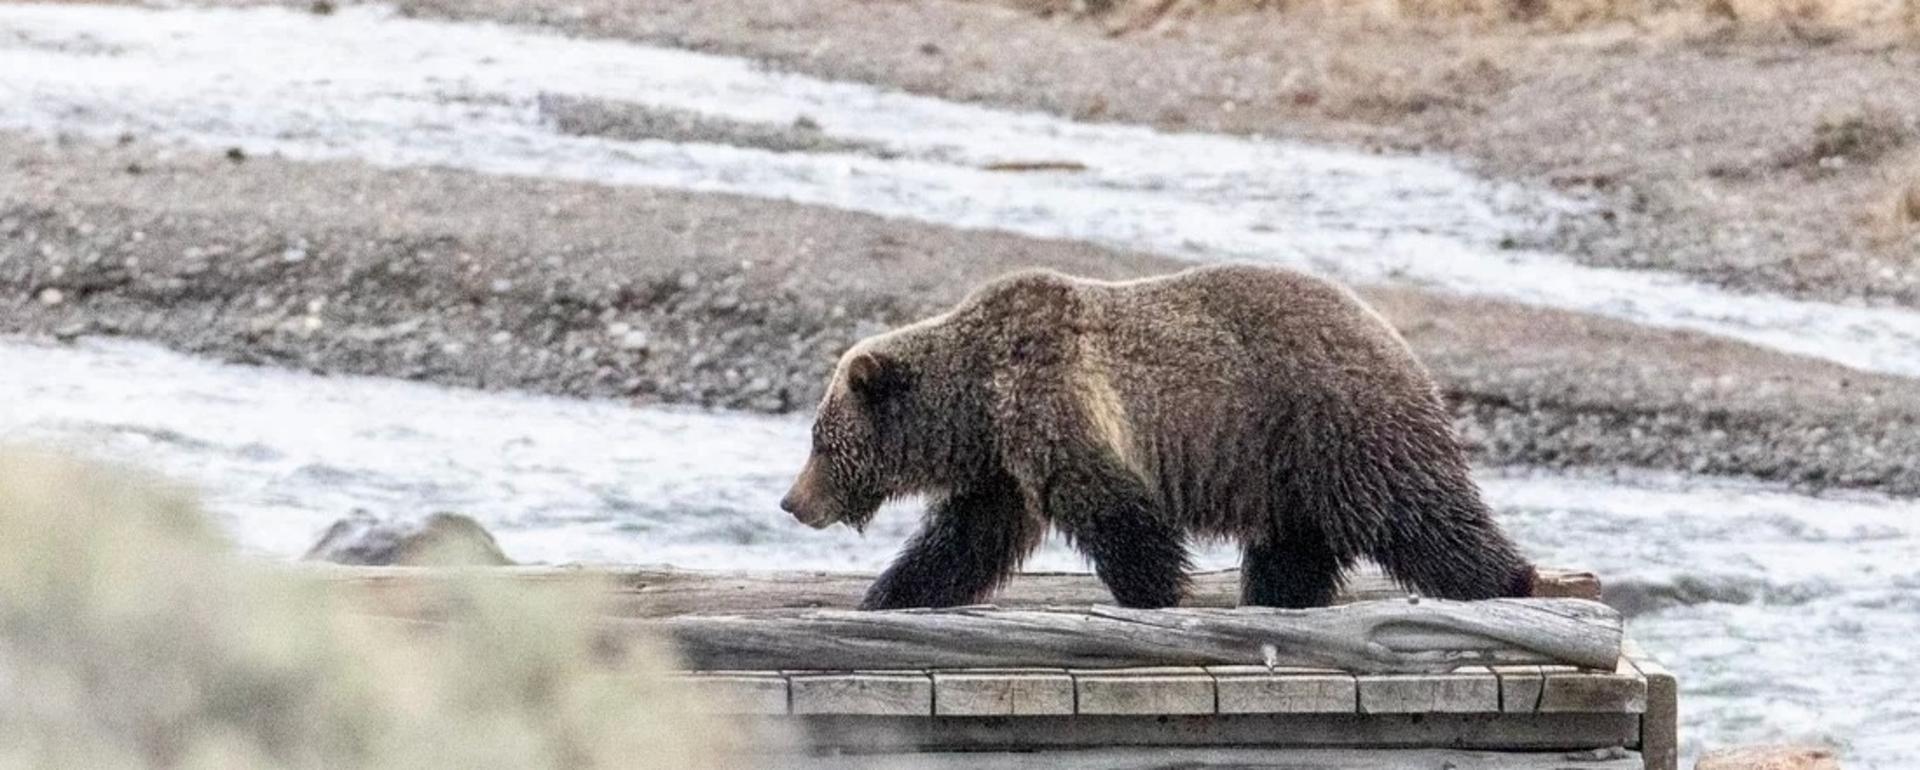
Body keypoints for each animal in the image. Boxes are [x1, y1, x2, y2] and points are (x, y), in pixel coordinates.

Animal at [771, 266, 1536, 610]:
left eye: (819, 442)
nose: (791, 501)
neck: (976, 403)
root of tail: (1393, 335)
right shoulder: (1001, 464)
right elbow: (967, 537)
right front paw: (891, 591)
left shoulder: (1055, 403)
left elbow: (1113, 510)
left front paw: (1151, 590)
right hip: (1286, 462)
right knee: (1295, 543)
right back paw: (1279, 596)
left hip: (1336, 422)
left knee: (1417, 512)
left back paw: (1508, 579)